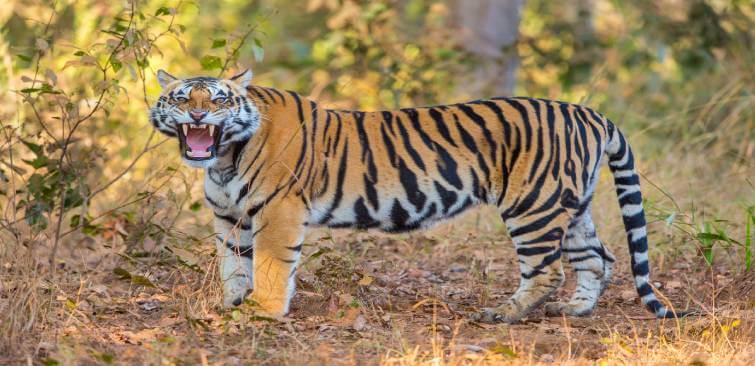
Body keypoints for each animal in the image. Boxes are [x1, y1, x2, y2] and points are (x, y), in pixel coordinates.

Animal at [149, 68, 692, 324]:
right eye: (182, 97)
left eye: (219, 99)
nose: (197, 116)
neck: (222, 159)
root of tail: (588, 112)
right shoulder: (230, 217)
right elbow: (233, 264)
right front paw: (231, 305)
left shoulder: (278, 211)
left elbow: (269, 264)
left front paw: (263, 310)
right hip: (570, 203)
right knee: (599, 257)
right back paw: (575, 311)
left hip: (533, 205)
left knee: (547, 269)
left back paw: (503, 315)